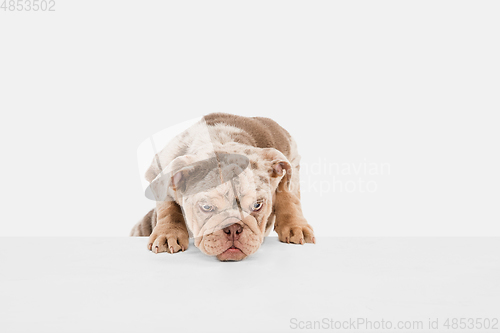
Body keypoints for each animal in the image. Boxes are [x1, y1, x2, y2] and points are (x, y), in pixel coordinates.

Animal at [131, 113, 314, 260]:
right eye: (206, 207)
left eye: (257, 205)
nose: (233, 228)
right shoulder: (160, 167)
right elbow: (167, 205)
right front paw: (168, 233)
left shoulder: (290, 156)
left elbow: (289, 195)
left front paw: (295, 226)